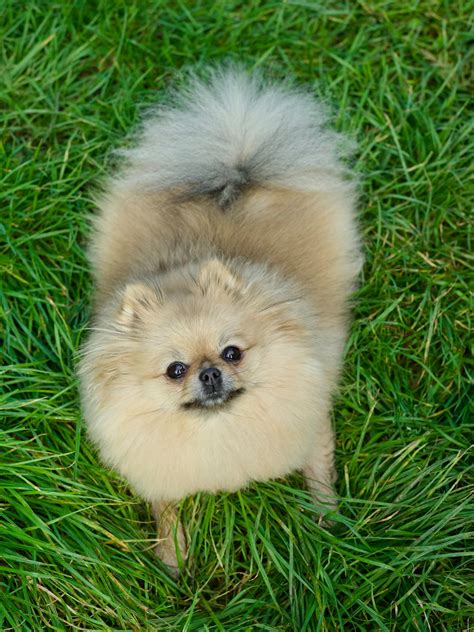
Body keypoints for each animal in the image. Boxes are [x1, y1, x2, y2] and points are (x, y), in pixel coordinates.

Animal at [78, 66, 360, 576]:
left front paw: (327, 523)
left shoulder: (310, 422)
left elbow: (318, 474)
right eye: (175, 370)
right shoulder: (159, 467)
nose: (210, 373)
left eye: (232, 353)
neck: (220, 432)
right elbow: (166, 513)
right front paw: (173, 560)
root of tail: (233, 172)